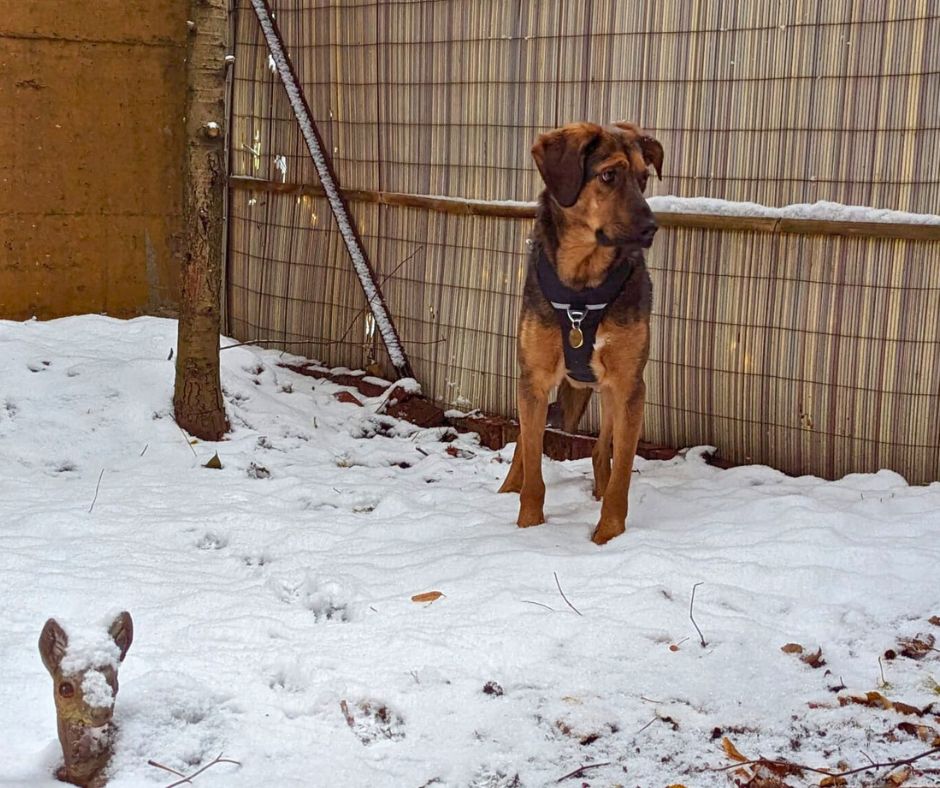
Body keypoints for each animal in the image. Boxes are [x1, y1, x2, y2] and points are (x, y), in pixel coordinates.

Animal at [496, 120, 664, 544]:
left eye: (643, 178)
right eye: (609, 175)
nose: (651, 228)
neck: (582, 284)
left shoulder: (629, 386)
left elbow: (621, 475)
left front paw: (608, 536)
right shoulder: (534, 379)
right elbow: (533, 466)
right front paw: (528, 527)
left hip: (603, 396)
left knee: (601, 449)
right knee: (525, 444)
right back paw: (507, 487)